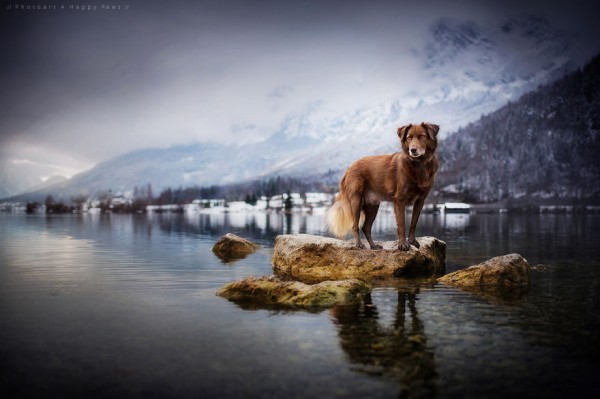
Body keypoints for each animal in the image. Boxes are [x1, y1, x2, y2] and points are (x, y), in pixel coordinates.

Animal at [328, 123, 440, 252]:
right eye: (409, 138)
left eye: (422, 137)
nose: (413, 150)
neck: (418, 165)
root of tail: (350, 167)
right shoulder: (400, 200)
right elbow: (402, 224)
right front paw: (403, 244)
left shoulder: (420, 200)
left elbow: (413, 222)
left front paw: (412, 241)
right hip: (356, 201)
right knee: (355, 226)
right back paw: (359, 244)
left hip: (373, 206)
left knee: (366, 227)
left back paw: (373, 246)